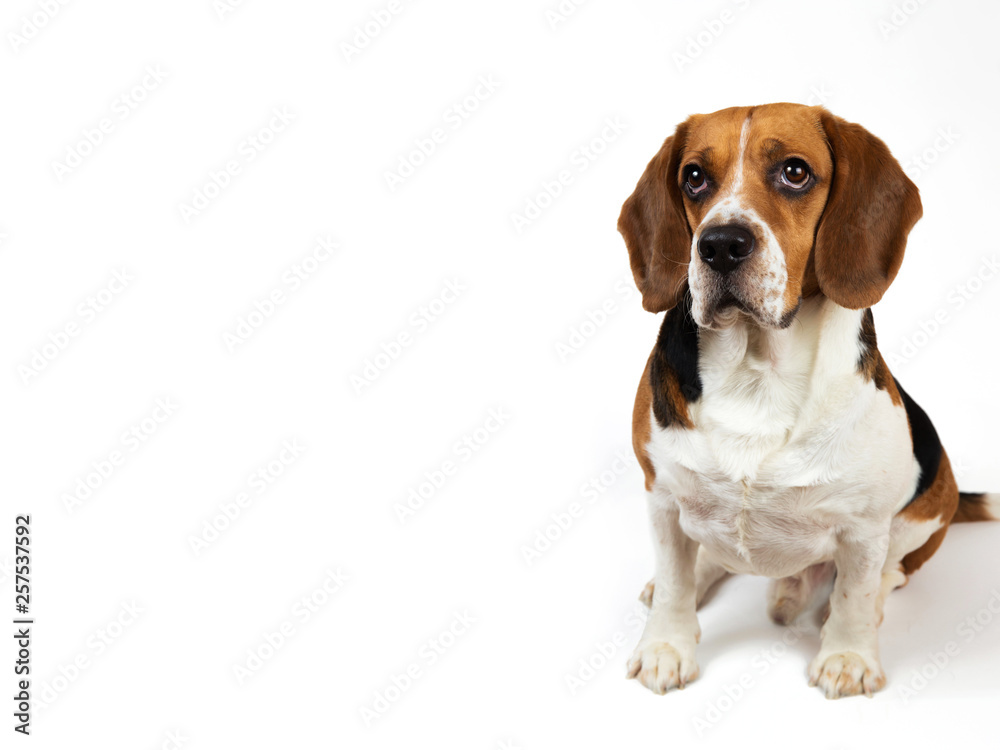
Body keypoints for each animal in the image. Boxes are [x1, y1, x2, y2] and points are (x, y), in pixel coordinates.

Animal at [620, 103, 996, 704]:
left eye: (794, 172)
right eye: (694, 177)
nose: (719, 244)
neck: (757, 372)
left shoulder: (865, 526)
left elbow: (854, 594)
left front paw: (848, 656)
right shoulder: (662, 495)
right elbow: (678, 582)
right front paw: (666, 646)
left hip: (926, 507)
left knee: (885, 573)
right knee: (706, 557)